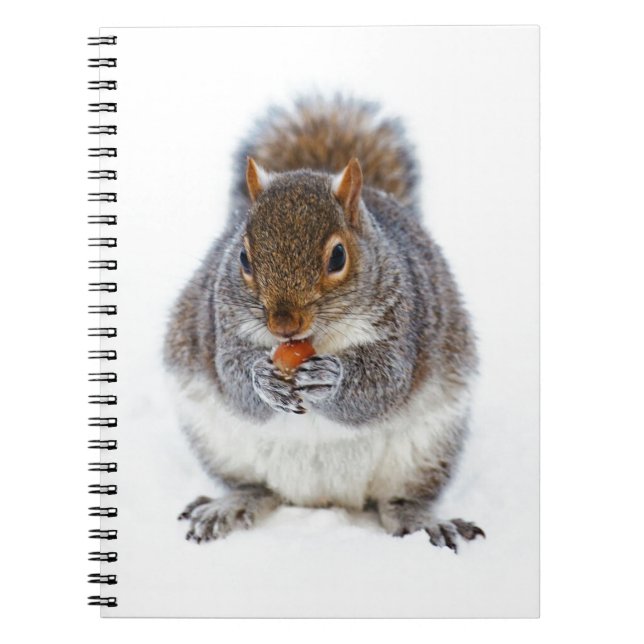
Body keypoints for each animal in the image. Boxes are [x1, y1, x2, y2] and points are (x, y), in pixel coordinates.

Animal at [165, 96, 484, 552]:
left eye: (338, 256)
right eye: (243, 257)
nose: (284, 324)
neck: (314, 340)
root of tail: (322, 498)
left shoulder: (405, 323)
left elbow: (384, 383)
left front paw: (330, 379)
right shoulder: (220, 322)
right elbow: (232, 376)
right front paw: (262, 379)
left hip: (426, 450)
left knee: (399, 500)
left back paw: (423, 521)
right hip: (218, 443)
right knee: (256, 487)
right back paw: (229, 505)